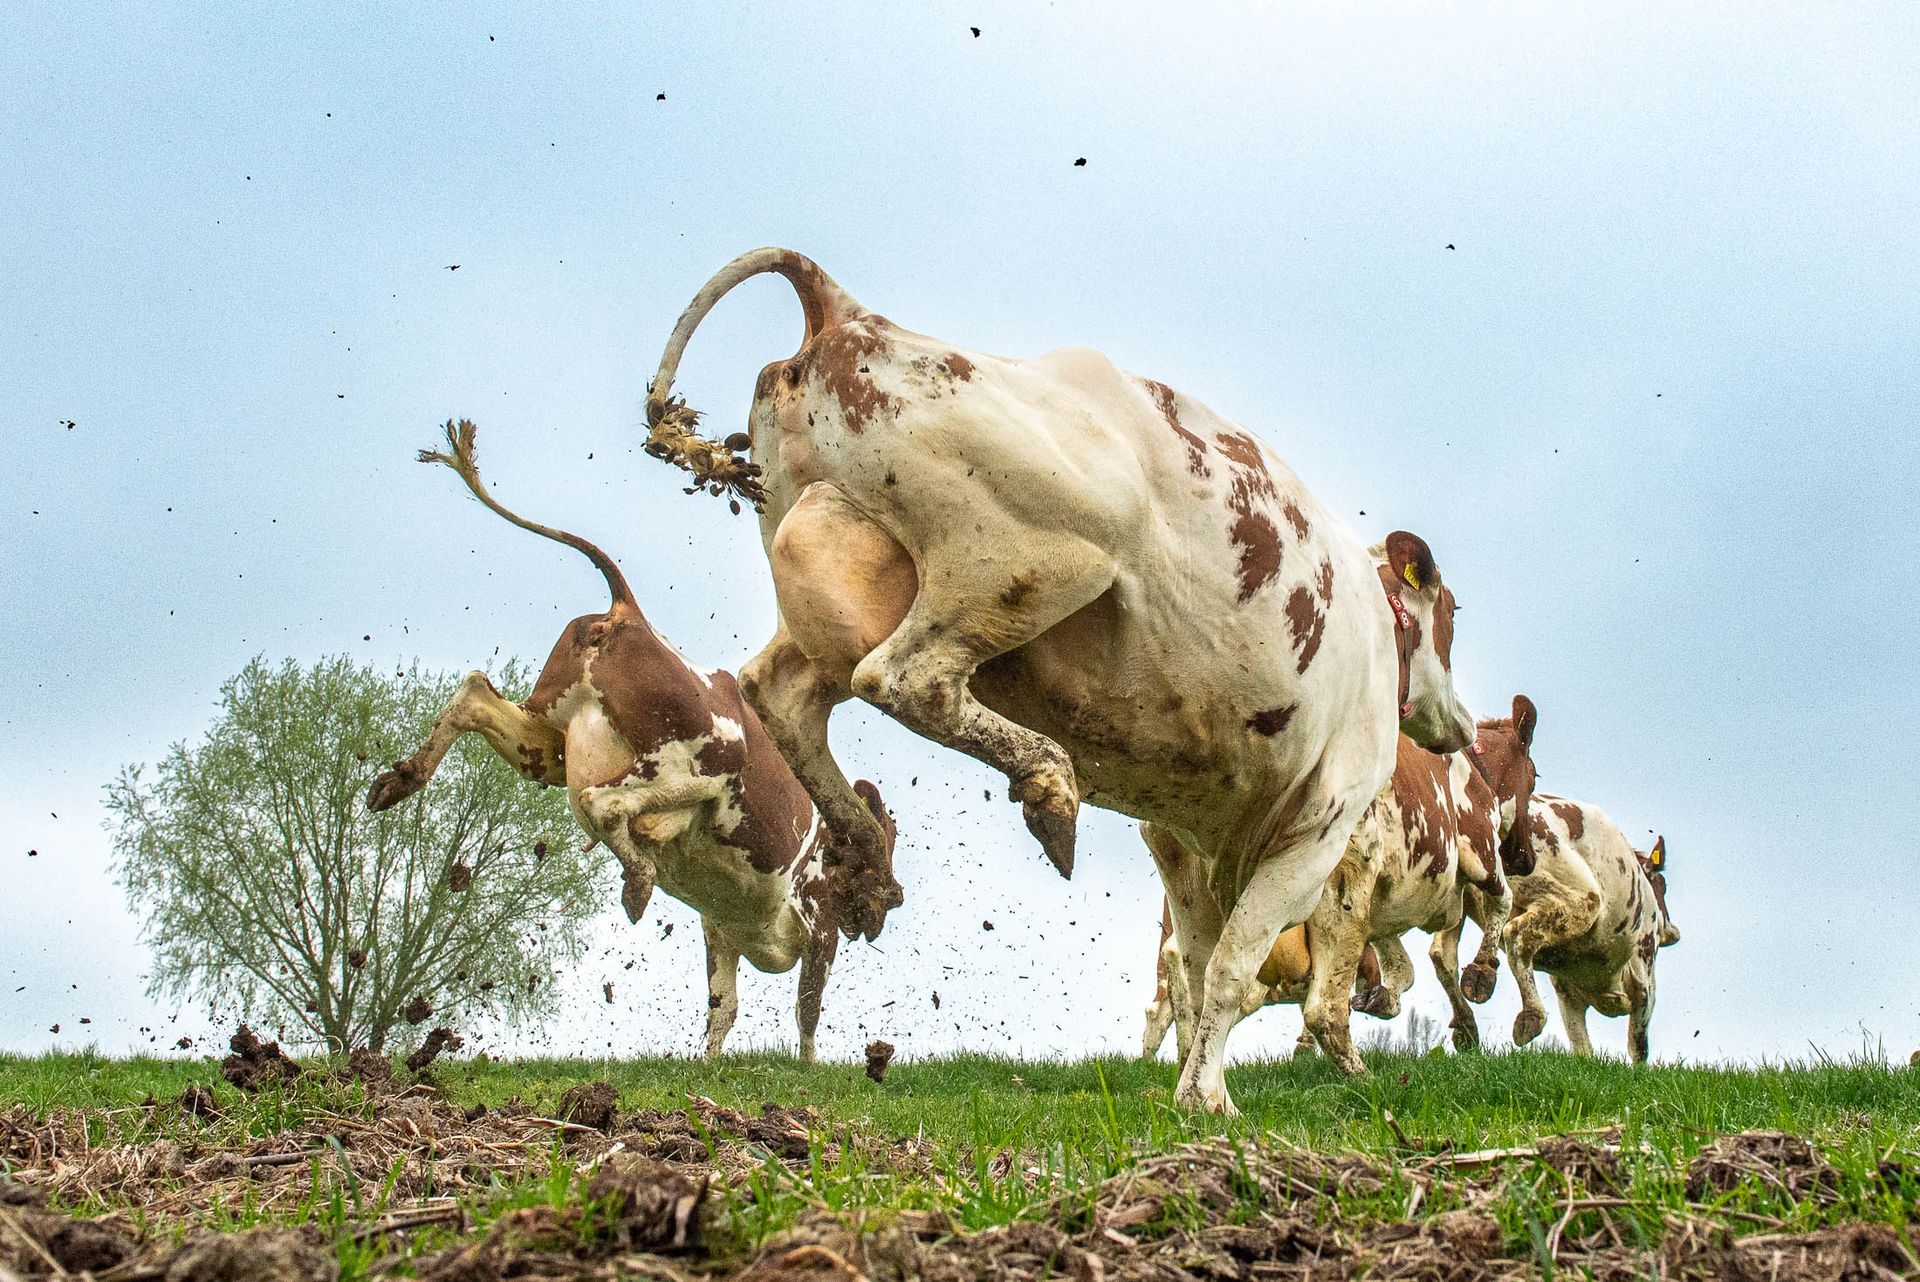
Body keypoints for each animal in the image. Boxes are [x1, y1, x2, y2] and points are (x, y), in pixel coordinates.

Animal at [365, 420, 896, 1062]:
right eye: (886, 845)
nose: (894, 897)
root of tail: (629, 615)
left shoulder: (720, 928)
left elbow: (723, 1008)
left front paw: (708, 1066)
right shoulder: (817, 928)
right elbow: (807, 1010)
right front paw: (812, 1068)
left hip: (547, 742)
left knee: (474, 694)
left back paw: (399, 780)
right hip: (697, 770)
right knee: (605, 804)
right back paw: (638, 881)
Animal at [642, 248, 1476, 1112]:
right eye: (1450, 613)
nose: (1463, 727)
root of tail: (850, 316)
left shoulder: (1183, 832)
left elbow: (1200, 963)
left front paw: (1197, 1084)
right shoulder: (1324, 820)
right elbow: (1237, 968)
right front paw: (1209, 1097)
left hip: (834, 570)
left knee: (779, 692)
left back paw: (870, 856)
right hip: (1037, 555)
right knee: (905, 677)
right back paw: (1047, 784)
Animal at [1140, 697, 1539, 1075]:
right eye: (1533, 777)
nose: (1525, 859)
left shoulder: (1381, 907)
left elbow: (1402, 967)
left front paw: (1382, 999)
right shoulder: (1481, 850)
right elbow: (1499, 906)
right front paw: (1484, 977)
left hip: (1190, 893)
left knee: (1191, 987)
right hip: (1338, 889)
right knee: (1320, 1008)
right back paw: (1364, 1078)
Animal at [1463, 798, 1678, 1062]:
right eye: (1663, 886)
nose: (1673, 933)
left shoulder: (1566, 990)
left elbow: (1582, 1048)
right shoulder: (1646, 979)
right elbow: (1639, 1049)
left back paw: (1474, 990)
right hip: (1576, 898)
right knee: (1517, 934)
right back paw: (1529, 1018)